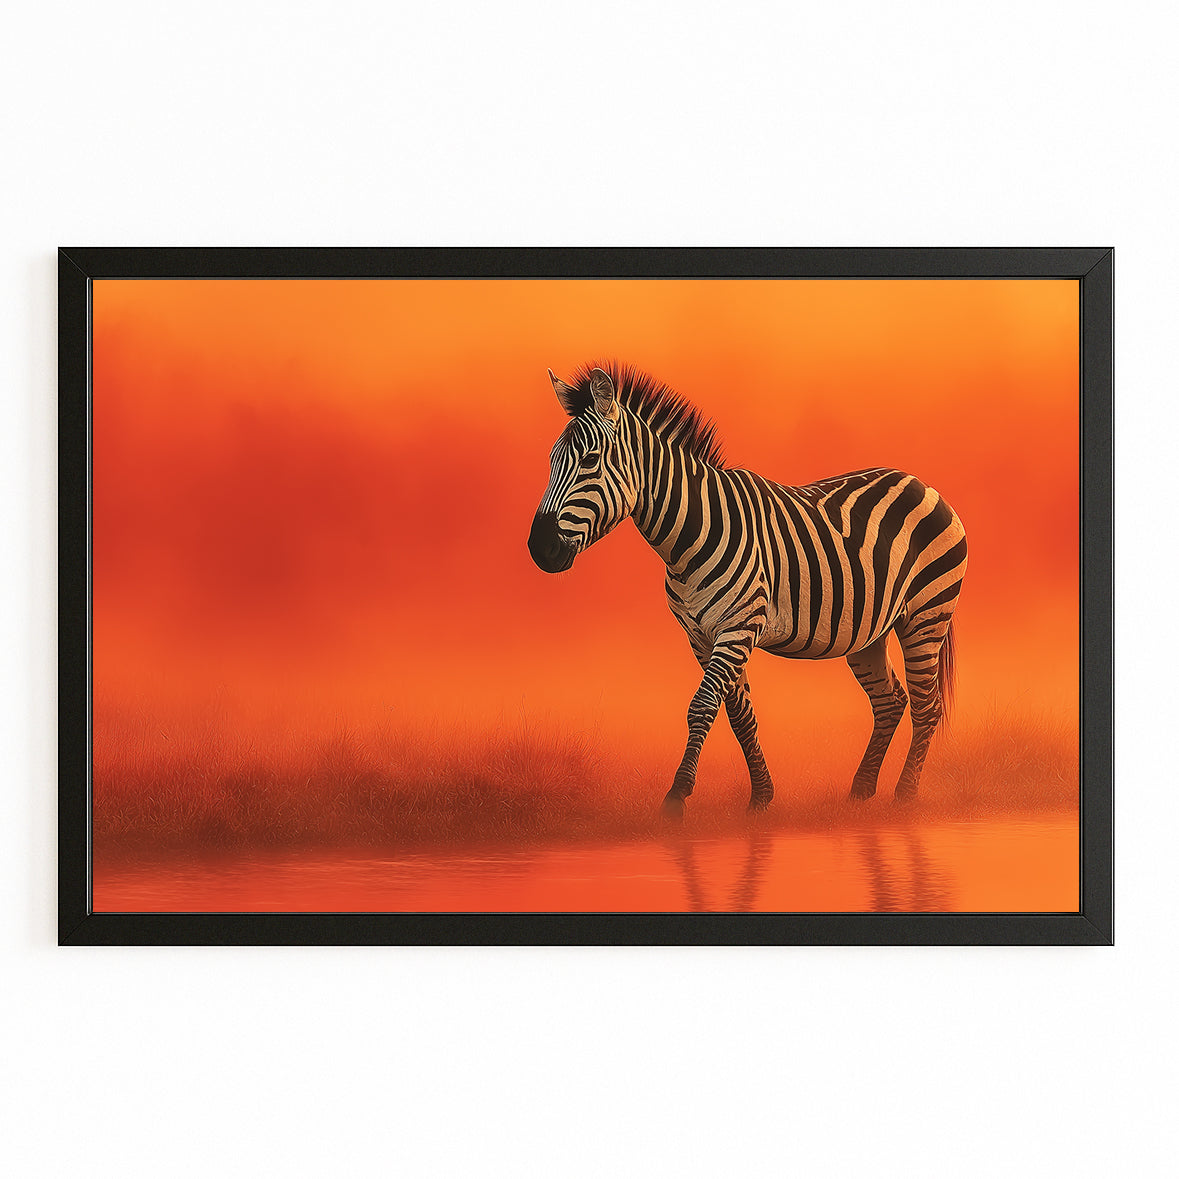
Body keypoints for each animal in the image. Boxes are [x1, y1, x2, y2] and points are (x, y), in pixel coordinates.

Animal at [527, 362, 968, 819]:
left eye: (590, 461)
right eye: (551, 460)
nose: (539, 548)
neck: (689, 537)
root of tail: (920, 482)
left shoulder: (739, 626)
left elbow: (703, 705)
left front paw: (677, 795)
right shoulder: (701, 636)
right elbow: (739, 713)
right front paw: (760, 796)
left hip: (926, 616)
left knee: (927, 705)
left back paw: (906, 796)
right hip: (870, 632)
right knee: (890, 701)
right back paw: (861, 792)